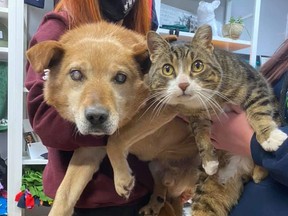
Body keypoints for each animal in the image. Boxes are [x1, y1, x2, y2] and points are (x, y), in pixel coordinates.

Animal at [25, 22, 199, 216]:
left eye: (121, 77)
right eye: (76, 74)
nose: (96, 117)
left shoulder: (166, 106)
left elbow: (116, 139)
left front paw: (122, 178)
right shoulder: (89, 150)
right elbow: (64, 194)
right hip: (156, 167)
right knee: (163, 187)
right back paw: (154, 204)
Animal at [147, 24, 286, 214]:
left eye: (197, 65)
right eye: (167, 69)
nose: (183, 84)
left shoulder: (256, 87)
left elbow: (257, 111)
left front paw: (269, 137)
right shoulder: (196, 116)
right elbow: (201, 136)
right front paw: (209, 161)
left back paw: (260, 170)